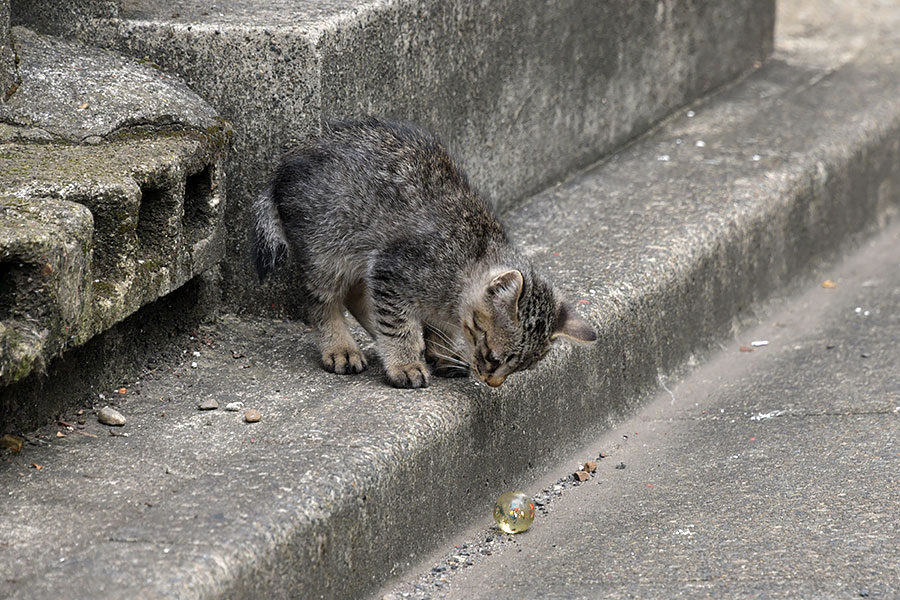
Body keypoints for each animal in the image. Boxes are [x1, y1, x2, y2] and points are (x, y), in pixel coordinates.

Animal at [251, 117, 596, 390]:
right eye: (493, 357)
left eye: (522, 368)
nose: (493, 382)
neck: (465, 262)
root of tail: (288, 160)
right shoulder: (392, 270)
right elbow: (397, 325)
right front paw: (404, 363)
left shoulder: (401, 279)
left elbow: (436, 325)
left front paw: (440, 352)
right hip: (327, 249)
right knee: (324, 301)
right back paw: (341, 347)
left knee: (357, 294)